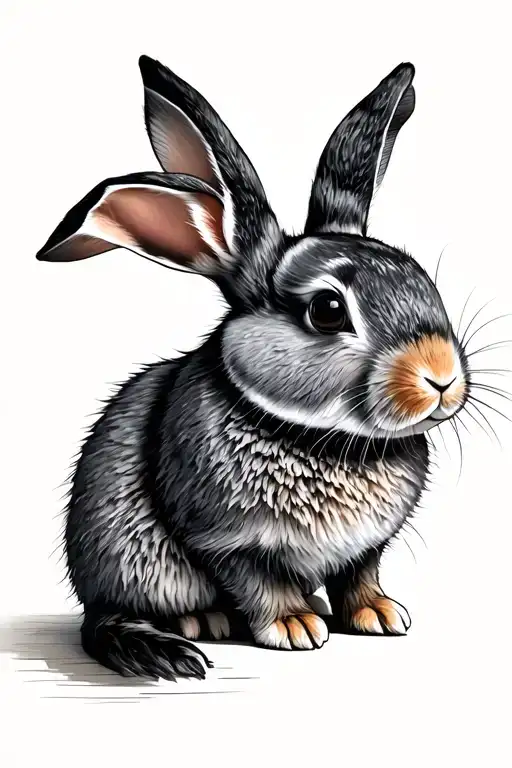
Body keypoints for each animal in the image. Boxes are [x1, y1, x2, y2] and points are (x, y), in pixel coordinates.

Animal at [36, 55, 470, 681]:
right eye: (327, 309)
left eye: (419, 276)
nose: (441, 378)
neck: (320, 438)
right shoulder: (228, 541)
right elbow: (261, 583)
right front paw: (294, 628)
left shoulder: (368, 547)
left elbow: (360, 576)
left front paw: (381, 615)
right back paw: (201, 623)